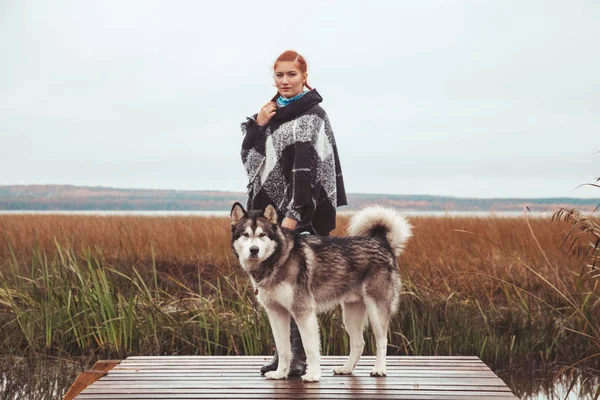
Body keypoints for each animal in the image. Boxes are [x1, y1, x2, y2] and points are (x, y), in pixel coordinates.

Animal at [230, 202, 412, 382]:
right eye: (245, 234)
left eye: (262, 234)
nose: (254, 250)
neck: (277, 260)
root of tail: (382, 242)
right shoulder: (276, 313)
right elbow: (283, 349)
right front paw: (280, 373)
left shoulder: (303, 311)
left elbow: (310, 348)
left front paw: (313, 375)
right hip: (350, 314)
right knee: (358, 343)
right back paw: (346, 369)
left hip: (376, 310)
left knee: (382, 340)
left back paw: (379, 369)